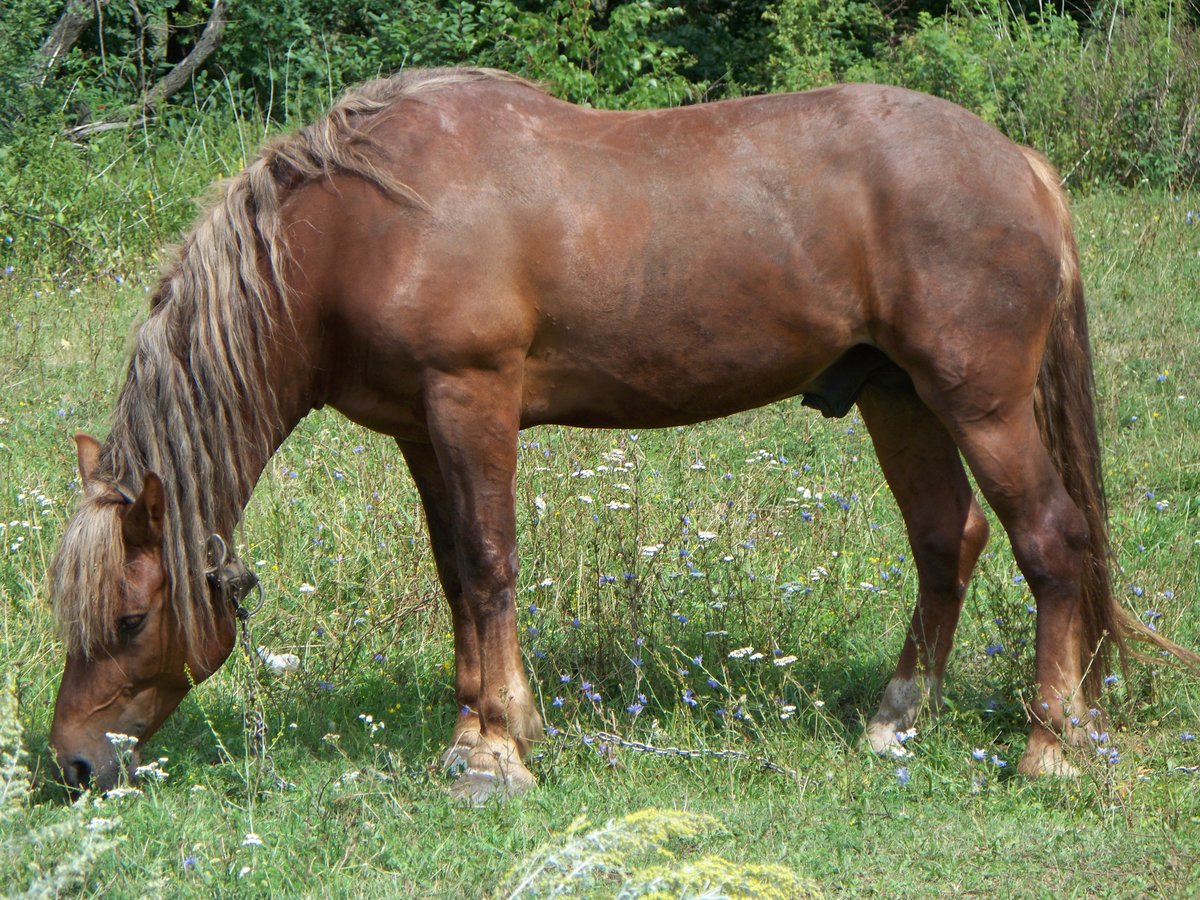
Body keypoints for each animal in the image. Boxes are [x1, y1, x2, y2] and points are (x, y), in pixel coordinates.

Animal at [47, 67, 1198, 802]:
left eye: (132, 619)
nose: (73, 765)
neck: (359, 226)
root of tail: (1021, 163)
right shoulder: (422, 428)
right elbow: (455, 575)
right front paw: (479, 729)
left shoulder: (473, 399)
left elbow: (490, 563)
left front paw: (497, 754)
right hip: (898, 396)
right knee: (945, 540)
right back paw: (896, 718)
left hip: (981, 403)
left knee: (1051, 543)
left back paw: (1050, 749)